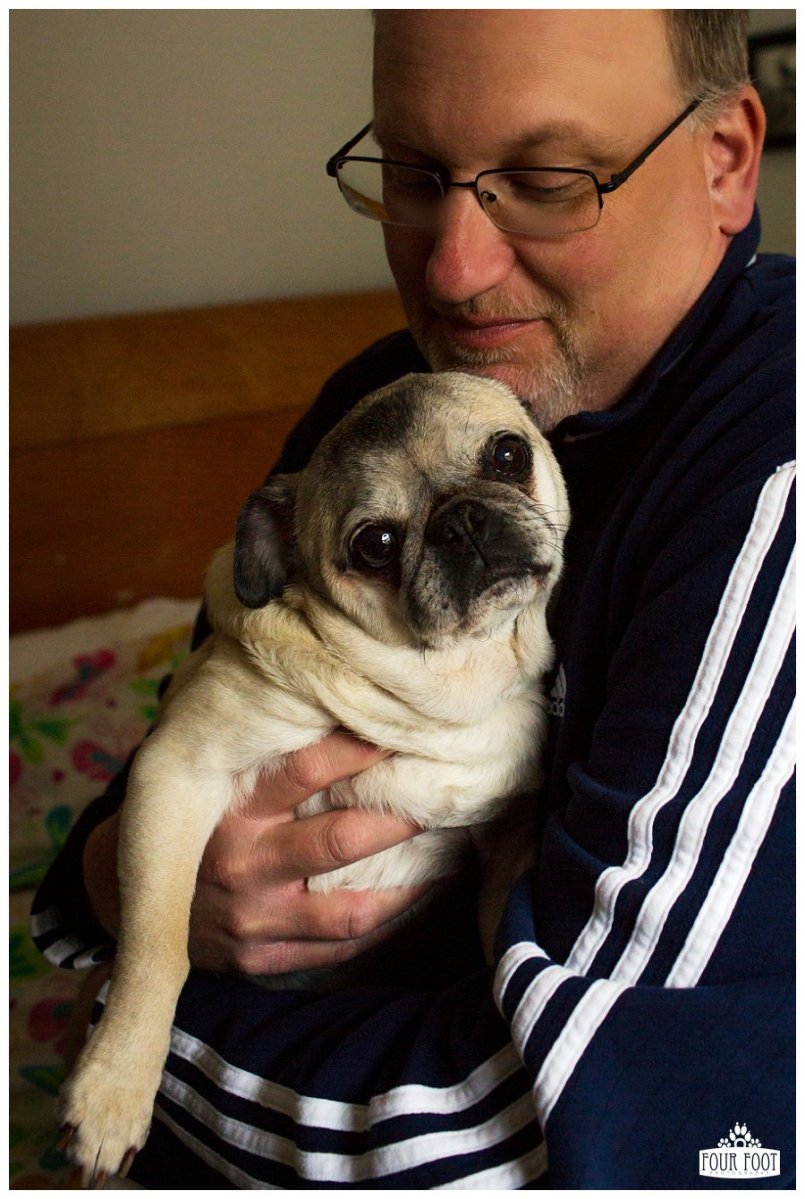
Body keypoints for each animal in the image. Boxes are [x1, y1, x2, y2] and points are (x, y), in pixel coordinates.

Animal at [58, 371, 569, 1184]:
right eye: (375, 544)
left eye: (507, 454)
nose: (460, 521)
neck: (438, 688)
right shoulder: (177, 774)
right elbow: (158, 946)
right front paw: (115, 1090)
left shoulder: (507, 837)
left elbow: (499, 934)